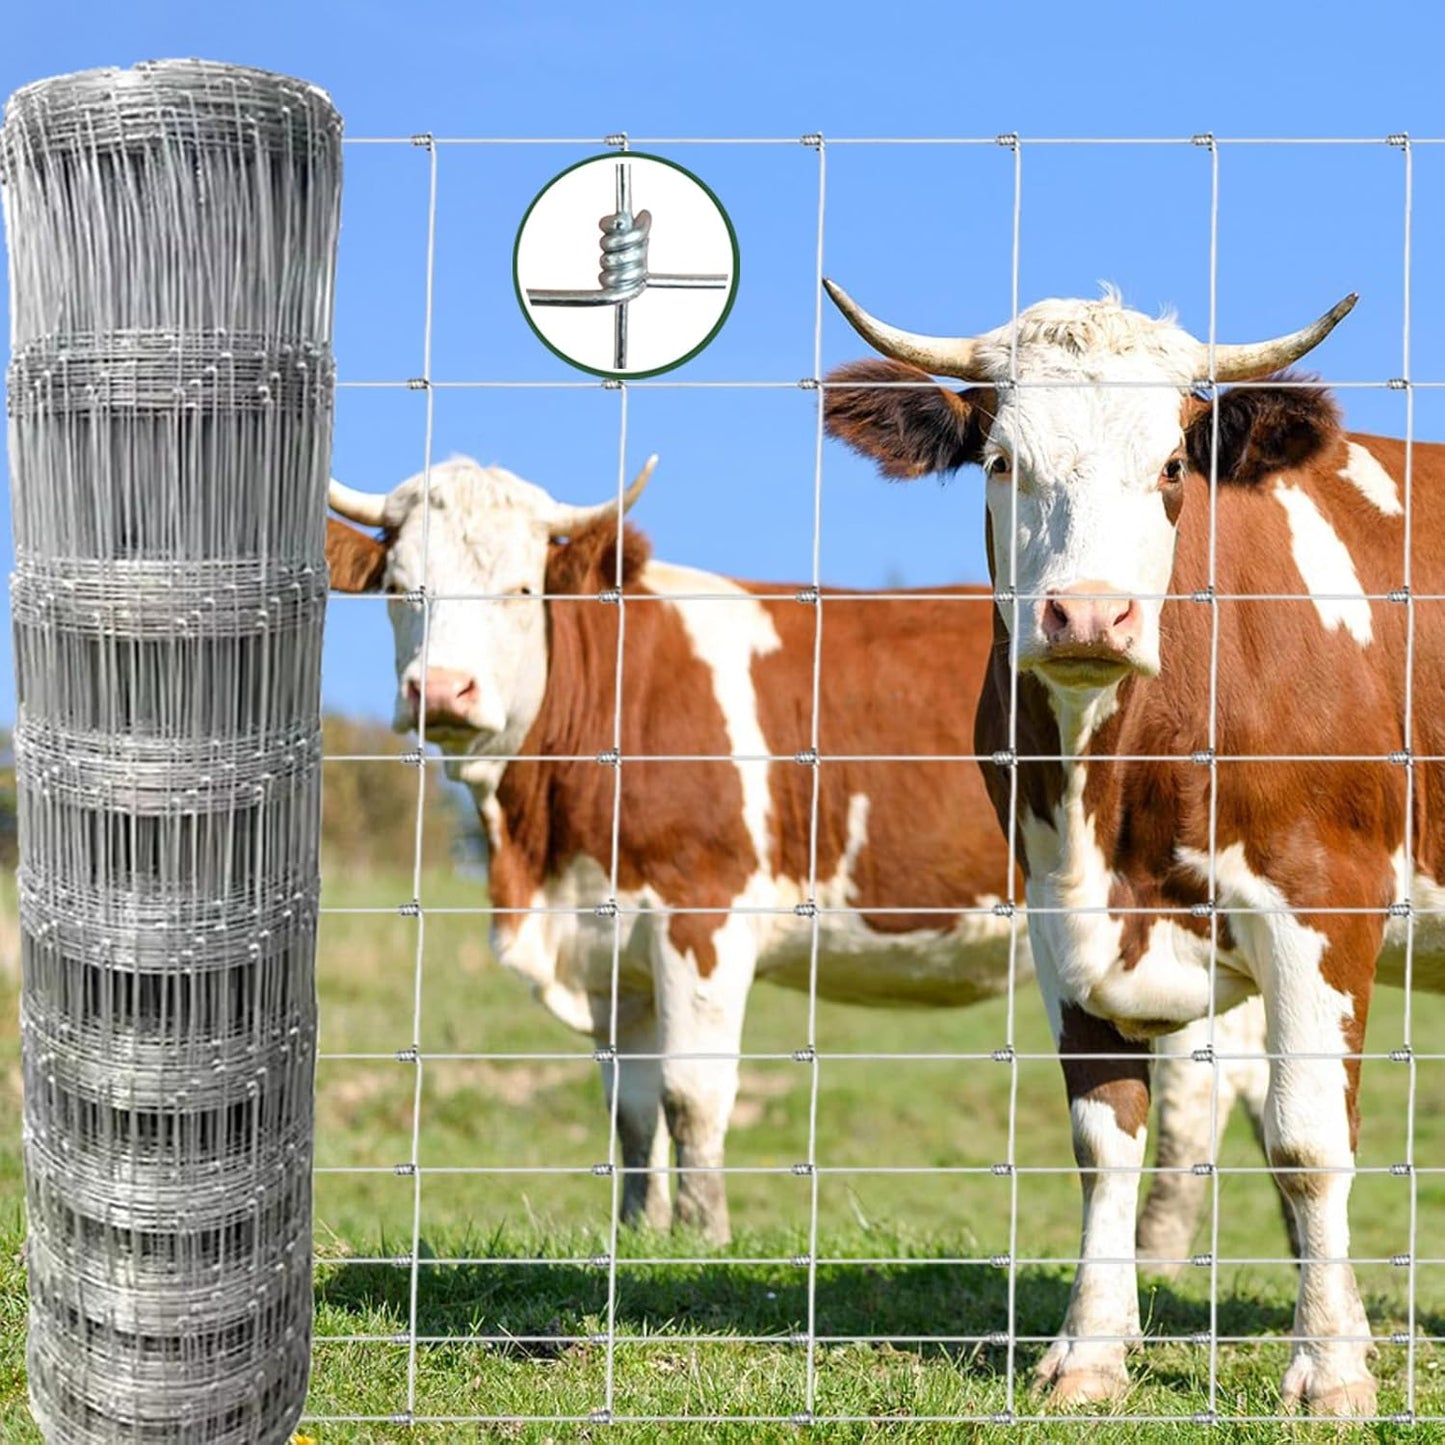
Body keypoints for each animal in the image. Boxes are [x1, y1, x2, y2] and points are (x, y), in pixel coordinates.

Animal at [322, 454, 1276, 1258]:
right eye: (400, 588)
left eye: (522, 589)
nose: (442, 691)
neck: (542, 848)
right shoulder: (611, 952)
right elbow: (631, 1112)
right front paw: (638, 1231)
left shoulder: (700, 913)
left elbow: (690, 1095)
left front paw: (703, 1236)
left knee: (1199, 1093)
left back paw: (1156, 1253)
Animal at [822, 277, 1444, 1415]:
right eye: (1000, 461)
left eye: (1168, 467)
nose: (1087, 613)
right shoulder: (1057, 909)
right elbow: (1103, 1137)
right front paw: (1090, 1351)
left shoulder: (1321, 898)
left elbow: (1305, 1139)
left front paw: (1331, 1367)